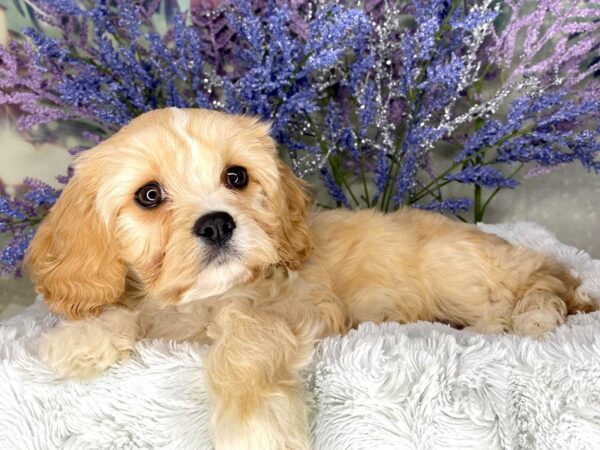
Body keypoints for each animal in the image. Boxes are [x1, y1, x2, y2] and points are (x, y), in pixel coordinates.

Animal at [27, 107, 596, 448]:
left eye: (236, 177)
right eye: (148, 195)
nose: (217, 223)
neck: (202, 300)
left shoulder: (307, 302)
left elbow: (247, 331)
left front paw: (254, 426)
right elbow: (122, 312)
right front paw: (83, 338)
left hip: (458, 270)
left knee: (546, 280)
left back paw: (518, 318)